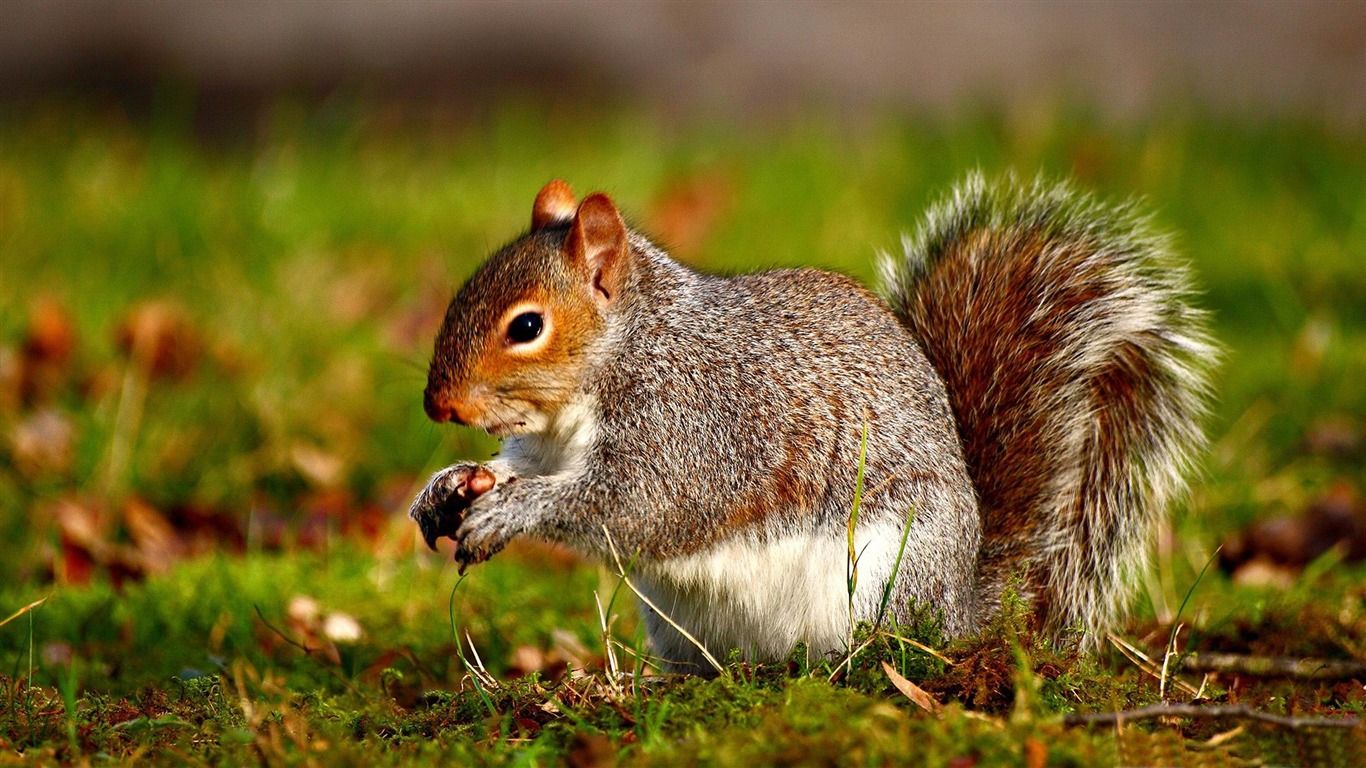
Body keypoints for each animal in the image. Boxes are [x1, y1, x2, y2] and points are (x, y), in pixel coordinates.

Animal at [409, 174, 1215, 673]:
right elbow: (522, 468)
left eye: (527, 326)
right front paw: (449, 485)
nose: (437, 406)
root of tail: (961, 609)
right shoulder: (548, 443)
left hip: (881, 576)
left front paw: (509, 512)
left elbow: (634, 503)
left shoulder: (692, 425)